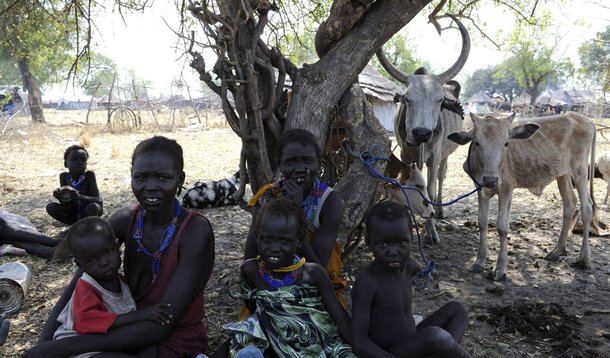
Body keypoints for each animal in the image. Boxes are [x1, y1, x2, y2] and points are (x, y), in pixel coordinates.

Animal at [446, 112, 592, 280]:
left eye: (506, 144)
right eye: (477, 143)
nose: (490, 179)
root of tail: (580, 117)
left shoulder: (506, 189)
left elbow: (502, 227)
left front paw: (500, 269)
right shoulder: (480, 189)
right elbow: (482, 223)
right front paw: (479, 262)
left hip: (580, 173)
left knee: (587, 208)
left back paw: (583, 258)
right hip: (562, 175)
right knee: (569, 204)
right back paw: (557, 251)